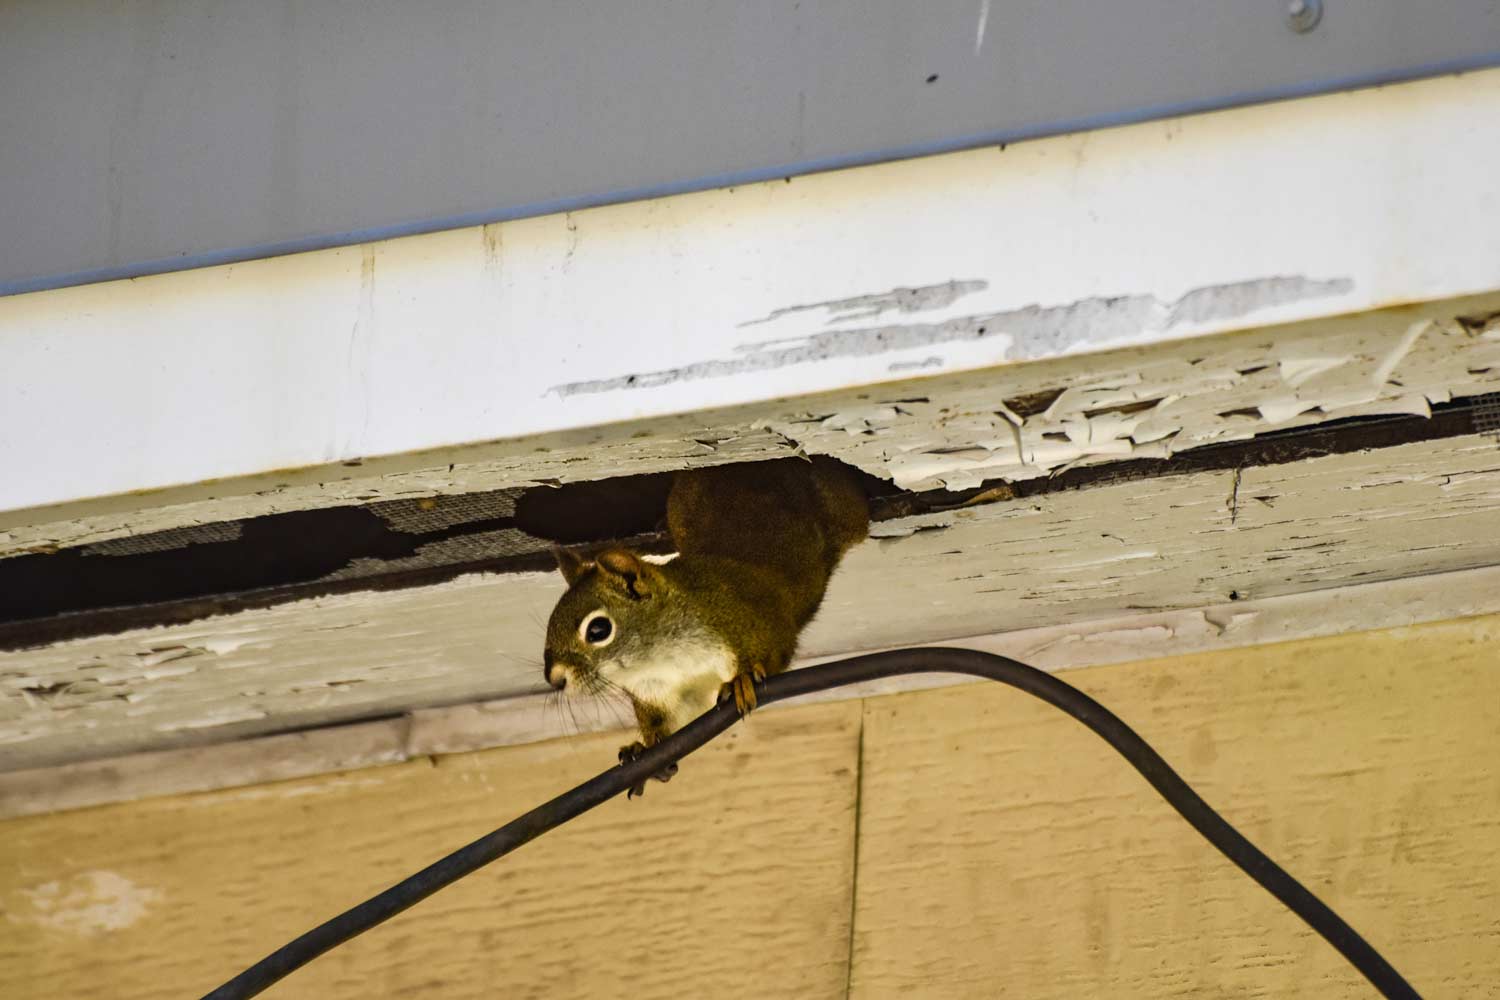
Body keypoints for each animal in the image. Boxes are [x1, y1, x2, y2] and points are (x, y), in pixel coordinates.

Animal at [542, 456, 868, 797]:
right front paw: (643, 749)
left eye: (598, 630)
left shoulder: (749, 622)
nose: (555, 679)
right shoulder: (661, 694)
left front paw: (742, 680)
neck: (659, 659)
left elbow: (775, 650)